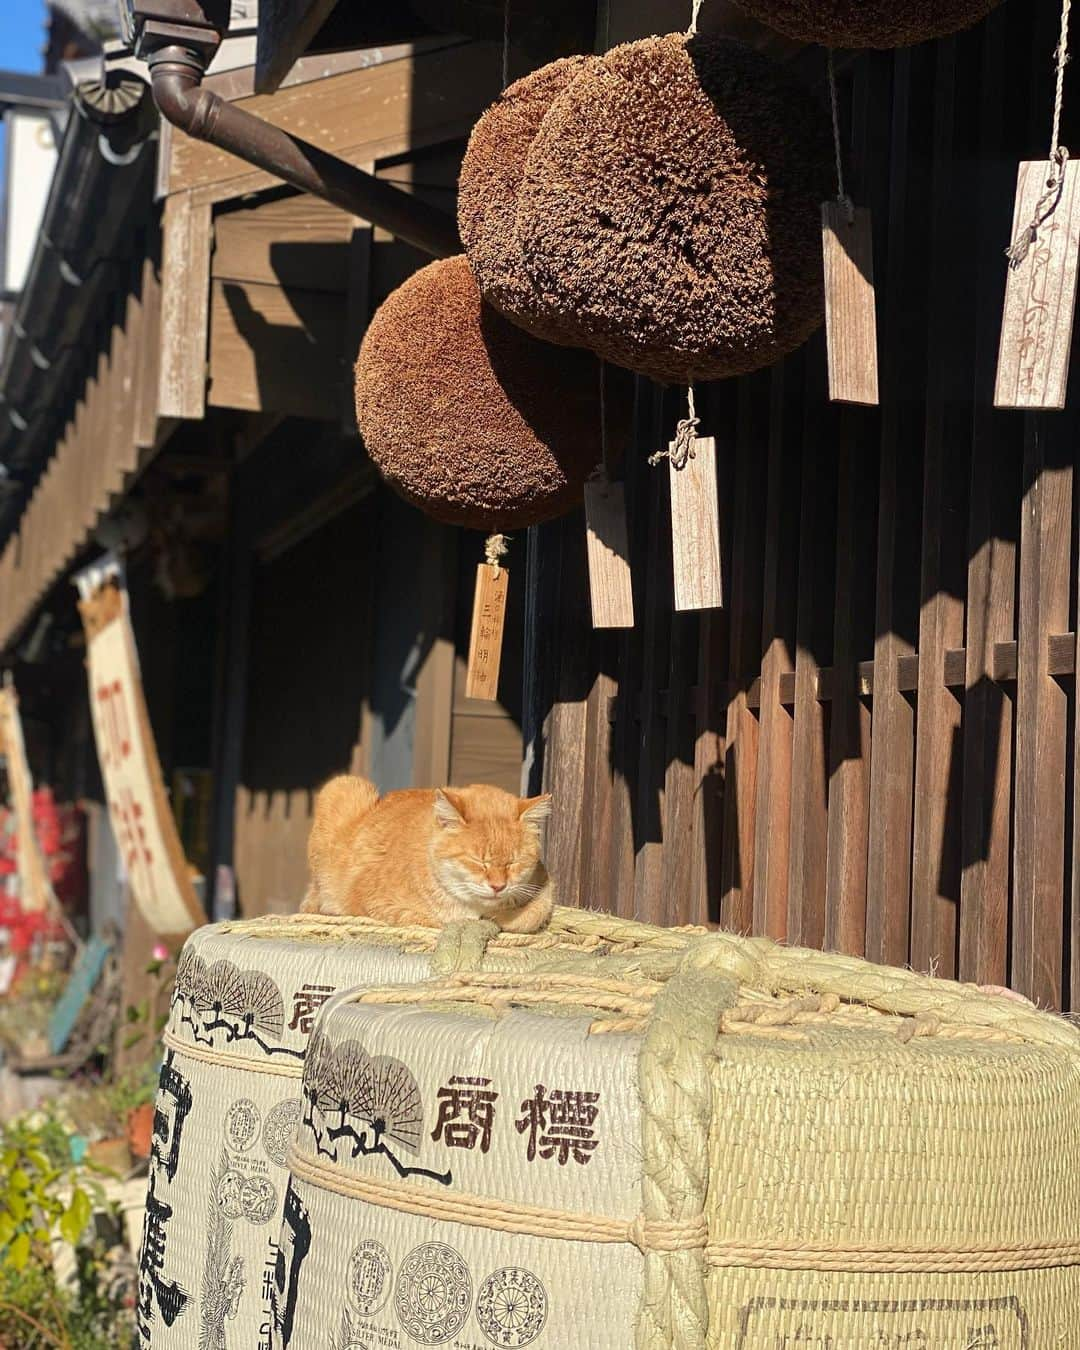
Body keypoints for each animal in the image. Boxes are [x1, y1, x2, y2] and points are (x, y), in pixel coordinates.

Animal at [303, 777, 556, 934]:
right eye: (477, 861)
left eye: (514, 862)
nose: (498, 886)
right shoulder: (374, 902)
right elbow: (428, 920)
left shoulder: (543, 888)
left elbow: (533, 914)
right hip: (343, 785)